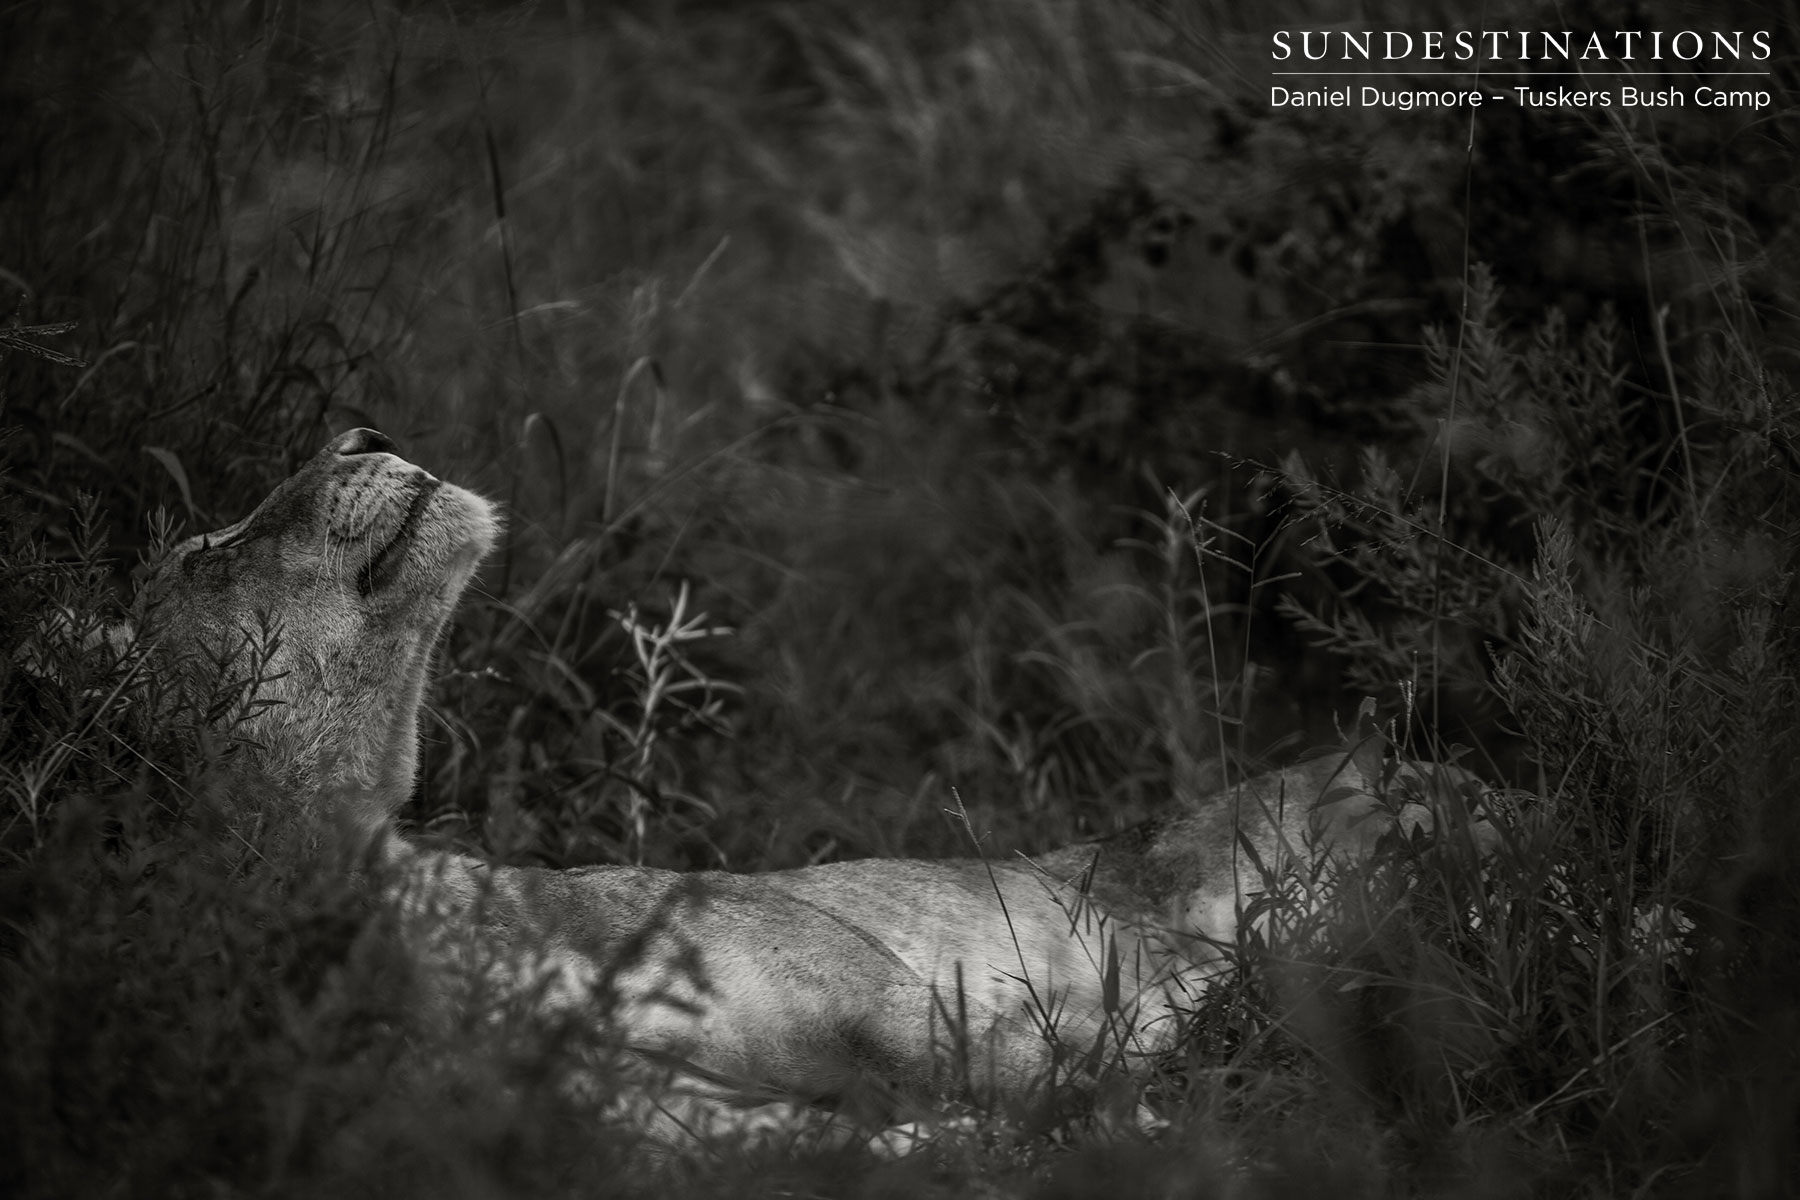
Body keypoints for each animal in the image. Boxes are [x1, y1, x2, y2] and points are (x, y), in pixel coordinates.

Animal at [134, 428, 1496, 1141]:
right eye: (208, 551)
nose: (360, 433)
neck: (377, 892)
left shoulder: (852, 985)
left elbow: (1028, 1055)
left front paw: (1145, 1083)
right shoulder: (685, 1133)